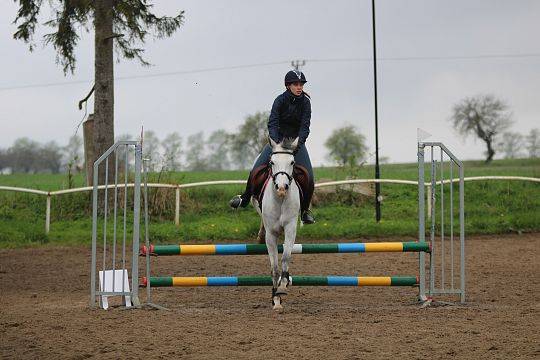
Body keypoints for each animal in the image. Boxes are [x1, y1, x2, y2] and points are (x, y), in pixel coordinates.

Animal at [252, 136, 302, 310]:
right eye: (272, 162)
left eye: (292, 162)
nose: (281, 188)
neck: (280, 200)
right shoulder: (272, 234)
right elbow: (274, 268)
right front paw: (276, 299)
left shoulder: (291, 228)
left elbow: (285, 258)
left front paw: (282, 287)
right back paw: (259, 236)